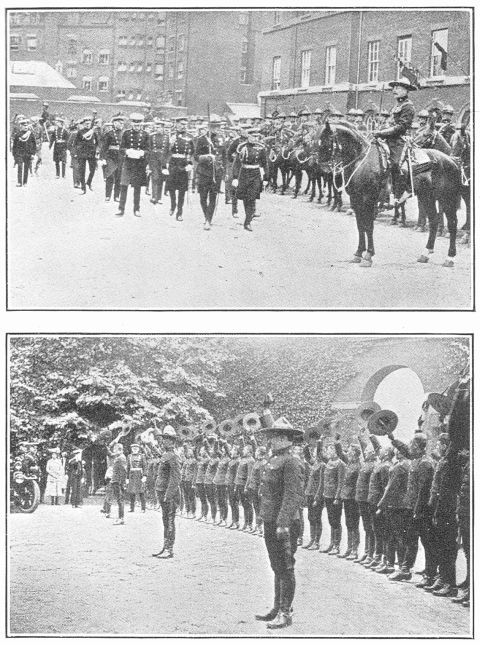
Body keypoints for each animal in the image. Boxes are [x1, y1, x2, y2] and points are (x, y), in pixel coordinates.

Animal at [320, 121, 464, 266]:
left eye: (326, 141)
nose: (323, 169)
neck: (361, 162)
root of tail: (452, 160)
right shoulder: (356, 200)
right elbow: (360, 226)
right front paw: (358, 253)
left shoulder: (368, 200)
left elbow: (368, 226)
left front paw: (368, 255)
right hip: (427, 197)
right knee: (434, 221)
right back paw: (425, 254)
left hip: (447, 198)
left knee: (452, 223)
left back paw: (450, 257)